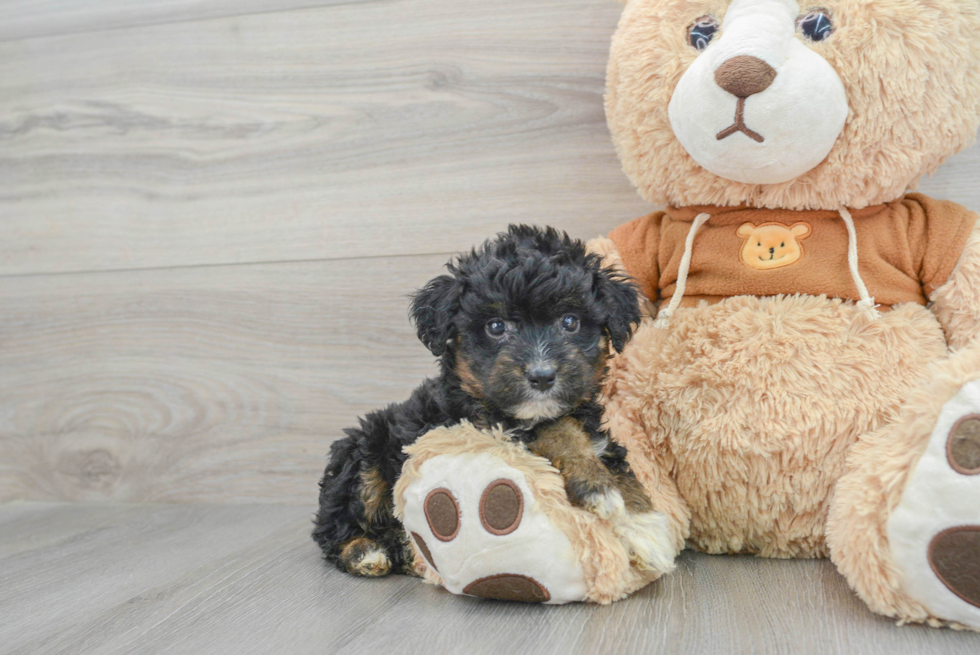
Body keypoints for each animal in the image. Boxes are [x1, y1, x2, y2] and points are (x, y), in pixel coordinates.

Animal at [318, 226, 664, 580]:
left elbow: (613, 460)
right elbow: (557, 430)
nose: (542, 376)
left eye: (570, 322)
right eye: (496, 326)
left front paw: (643, 525)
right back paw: (369, 552)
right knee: (334, 530)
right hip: (363, 456)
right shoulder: (482, 426)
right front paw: (597, 486)